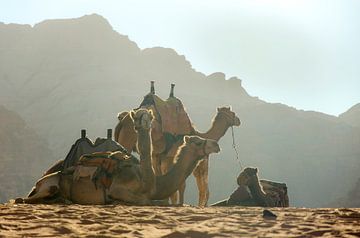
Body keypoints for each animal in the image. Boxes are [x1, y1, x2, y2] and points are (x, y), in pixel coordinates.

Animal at [16, 108, 221, 205]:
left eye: (149, 116)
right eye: (198, 142)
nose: (216, 145)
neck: (149, 182)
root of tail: (38, 183)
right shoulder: (119, 188)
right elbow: (146, 201)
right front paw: (113, 201)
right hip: (49, 185)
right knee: (22, 199)